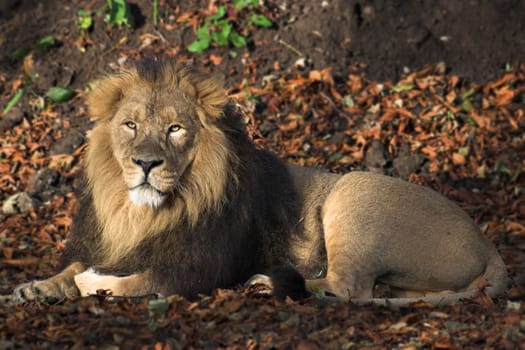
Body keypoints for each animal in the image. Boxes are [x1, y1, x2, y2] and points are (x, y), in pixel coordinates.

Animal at [12, 60, 508, 306]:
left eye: (176, 129)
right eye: (130, 125)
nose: (146, 163)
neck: (141, 214)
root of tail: (489, 244)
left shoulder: (199, 270)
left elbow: (135, 283)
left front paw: (88, 284)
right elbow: (74, 268)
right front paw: (38, 286)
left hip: (352, 190)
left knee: (348, 288)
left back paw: (268, 283)